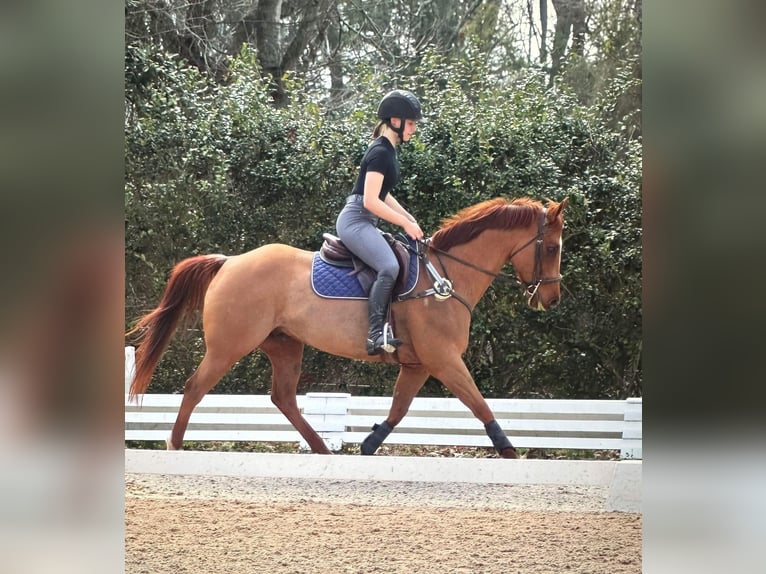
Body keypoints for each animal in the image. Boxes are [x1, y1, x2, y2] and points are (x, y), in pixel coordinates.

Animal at [127, 197, 568, 460]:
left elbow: (398, 410)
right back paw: (175, 446)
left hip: (284, 345)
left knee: (283, 398)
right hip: (229, 347)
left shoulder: (419, 365)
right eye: (552, 248)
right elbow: (480, 405)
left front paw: (369, 446)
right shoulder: (443, 360)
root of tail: (229, 261)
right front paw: (510, 452)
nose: (552, 299)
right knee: (194, 388)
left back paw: (322, 450)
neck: (445, 276)